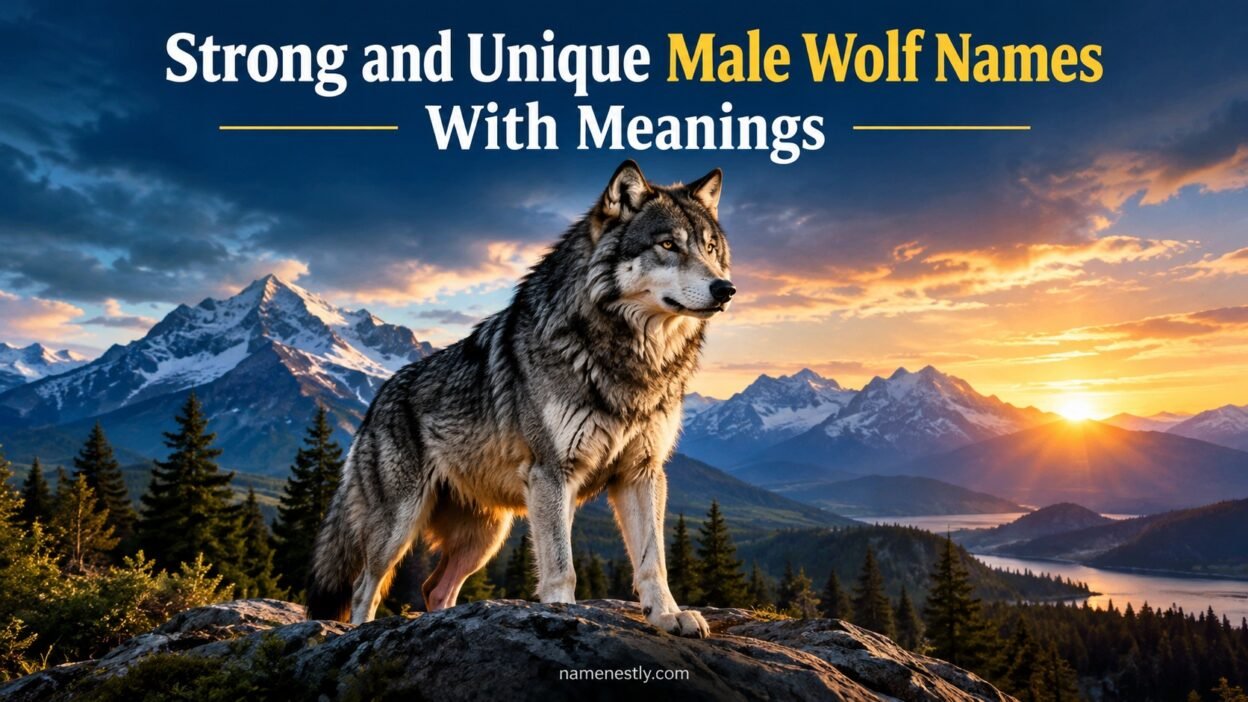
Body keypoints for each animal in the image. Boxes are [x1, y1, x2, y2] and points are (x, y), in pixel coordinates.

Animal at [307, 160, 734, 638]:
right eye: (667, 245)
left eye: (711, 248)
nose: (726, 289)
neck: (630, 360)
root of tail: (376, 400)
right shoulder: (552, 473)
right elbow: (562, 567)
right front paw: (565, 615)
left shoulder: (641, 474)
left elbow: (652, 562)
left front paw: (668, 615)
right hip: (398, 526)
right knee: (365, 587)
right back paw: (359, 633)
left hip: (485, 537)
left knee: (436, 589)